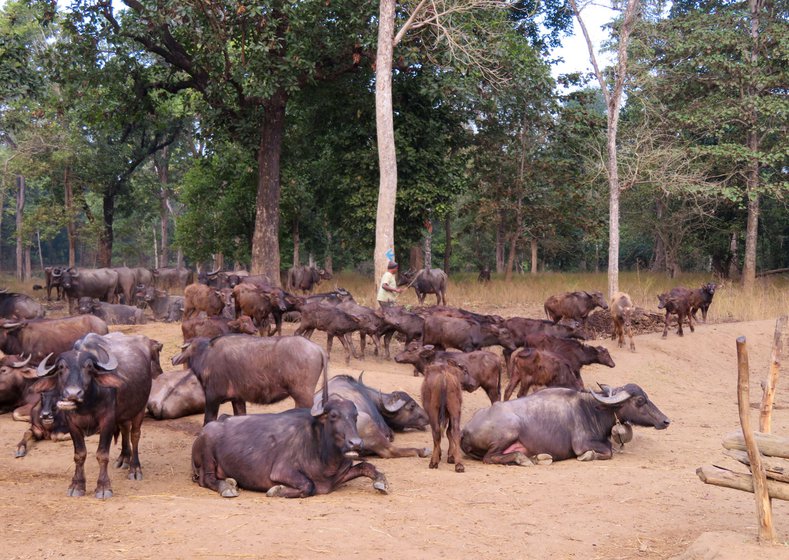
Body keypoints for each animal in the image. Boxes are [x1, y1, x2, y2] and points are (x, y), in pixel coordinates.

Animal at [172, 334, 330, 422]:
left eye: (184, 348)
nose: (173, 359)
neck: (206, 354)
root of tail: (317, 348)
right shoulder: (237, 399)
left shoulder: (212, 398)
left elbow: (208, 421)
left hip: (303, 396)